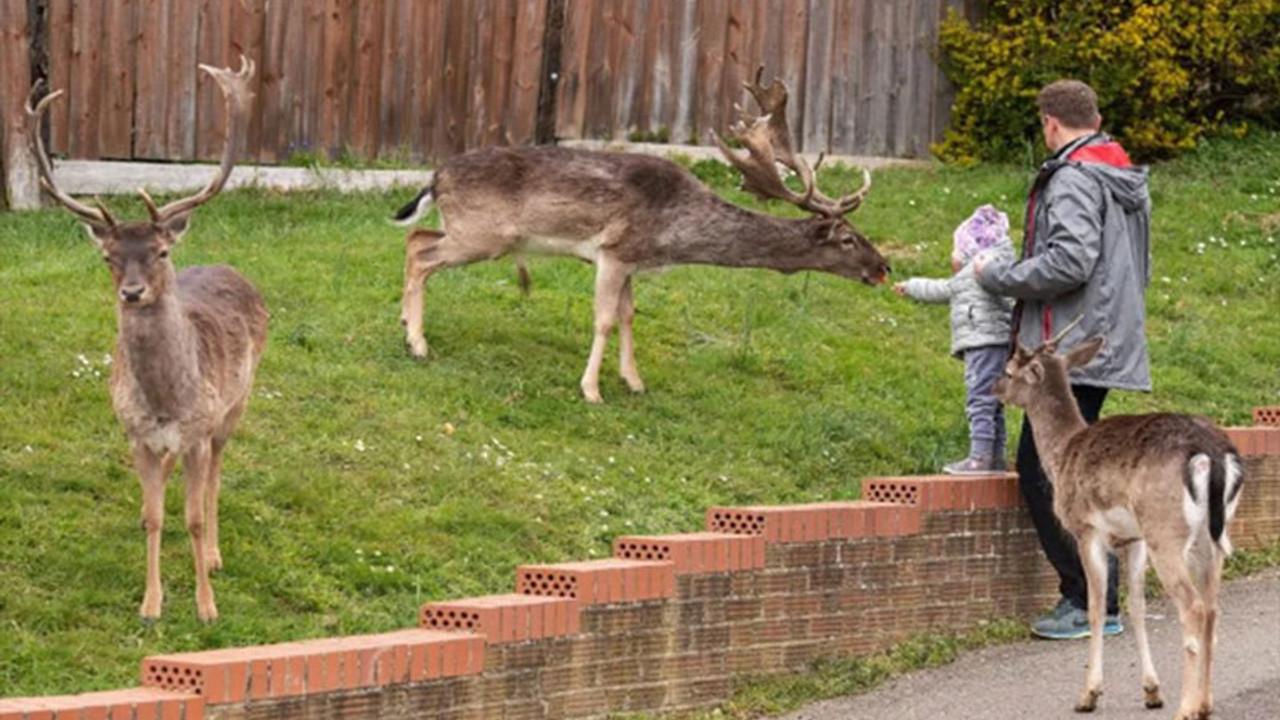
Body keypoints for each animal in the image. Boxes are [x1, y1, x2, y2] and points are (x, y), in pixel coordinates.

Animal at [26, 56, 266, 620]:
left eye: (160, 251)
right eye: (107, 257)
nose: (132, 292)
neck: (166, 403)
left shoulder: (200, 428)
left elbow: (194, 517)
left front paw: (206, 605)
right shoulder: (135, 434)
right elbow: (160, 517)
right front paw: (151, 602)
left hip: (237, 405)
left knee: (217, 473)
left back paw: (217, 555)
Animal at [391, 67, 890, 399]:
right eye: (848, 239)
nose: (884, 267)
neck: (673, 232)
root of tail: (435, 177)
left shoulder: (631, 262)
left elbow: (630, 316)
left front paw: (633, 380)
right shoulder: (613, 251)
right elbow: (604, 319)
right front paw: (591, 389)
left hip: (468, 230)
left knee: (416, 238)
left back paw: (404, 323)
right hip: (484, 235)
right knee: (421, 255)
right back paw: (418, 344)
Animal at [993, 320, 1244, 717]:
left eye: (1007, 370)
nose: (994, 389)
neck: (1062, 454)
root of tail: (1213, 455)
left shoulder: (1087, 530)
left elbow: (1097, 607)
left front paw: (1089, 694)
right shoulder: (1133, 538)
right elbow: (1136, 607)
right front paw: (1152, 691)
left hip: (1165, 530)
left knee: (1192, 608)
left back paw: (1186, 707)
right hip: (1212, 537)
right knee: (1213, 609)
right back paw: (1204, 704)